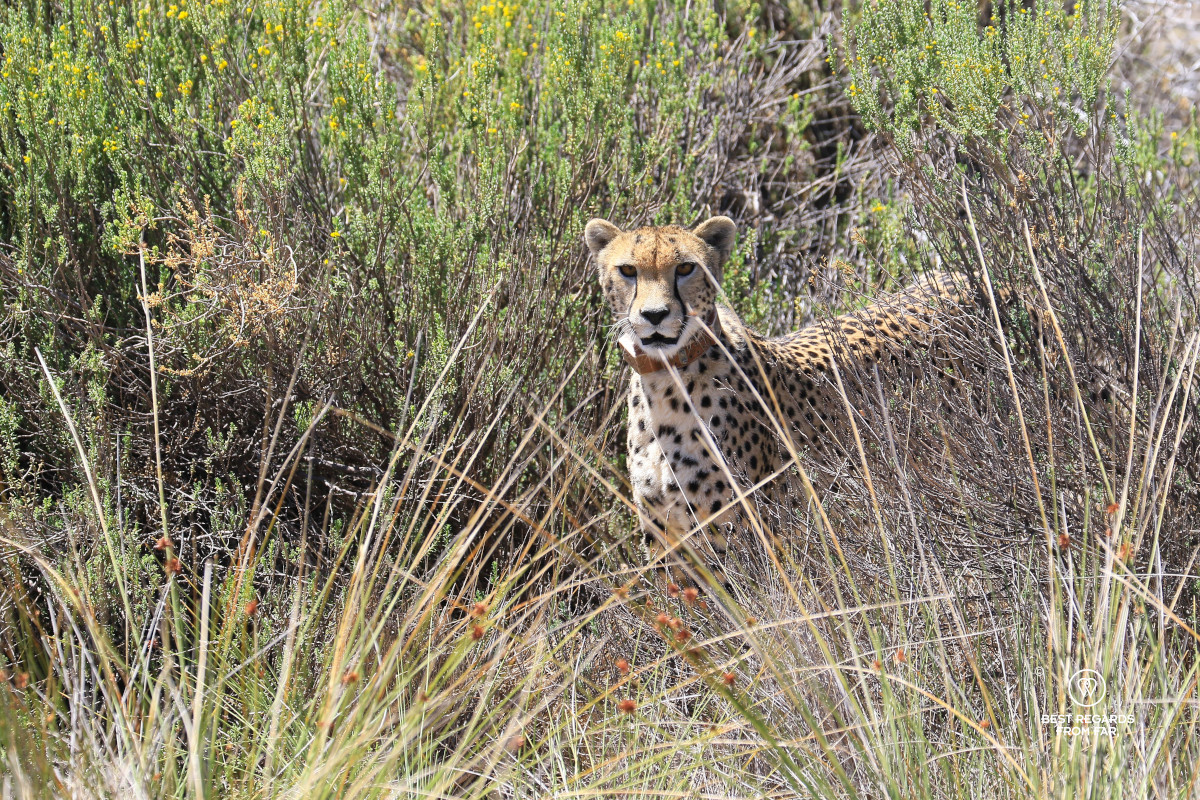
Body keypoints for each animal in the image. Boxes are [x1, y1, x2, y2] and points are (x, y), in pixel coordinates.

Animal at [586, 215, 1014, 586]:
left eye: (686, 268)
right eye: (628, 270)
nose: (655, 315)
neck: (664, 380)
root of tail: (968, 274)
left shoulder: (742, 539)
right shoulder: (667, 543)